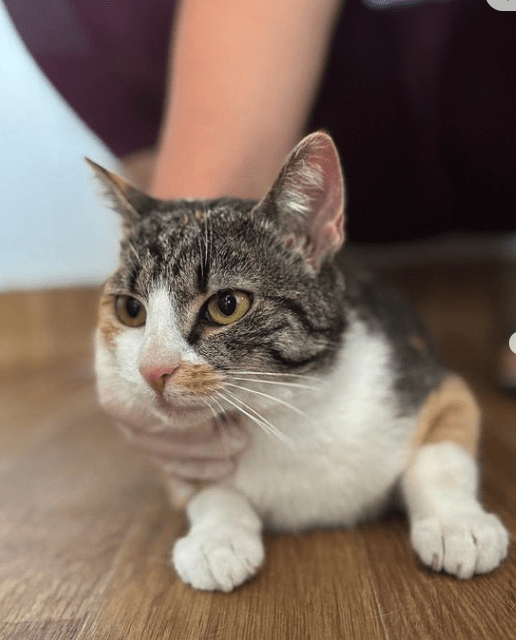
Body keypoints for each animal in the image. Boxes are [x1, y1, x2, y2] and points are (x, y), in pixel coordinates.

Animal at [88, 132, 508, 592]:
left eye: (227, 305)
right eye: (131, 310)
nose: (153, 370)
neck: (285, 410)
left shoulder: (426, 377)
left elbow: (442, 456)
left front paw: (458, 525)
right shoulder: (180, 453)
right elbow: (207, 488)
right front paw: (217, 539)